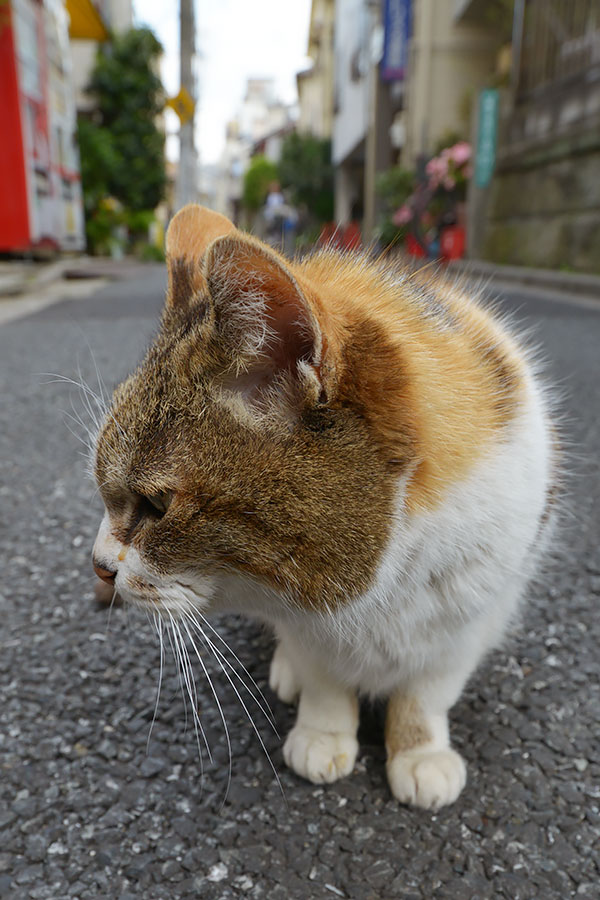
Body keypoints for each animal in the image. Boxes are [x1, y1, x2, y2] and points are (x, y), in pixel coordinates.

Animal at [91, 204, 556, 808]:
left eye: (155, 504)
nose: (98, 566)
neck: (376, 591)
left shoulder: (466, 624)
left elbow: (426, 695)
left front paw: (420, 753)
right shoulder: (304, 625)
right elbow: (324, 680)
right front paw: (322, 735)